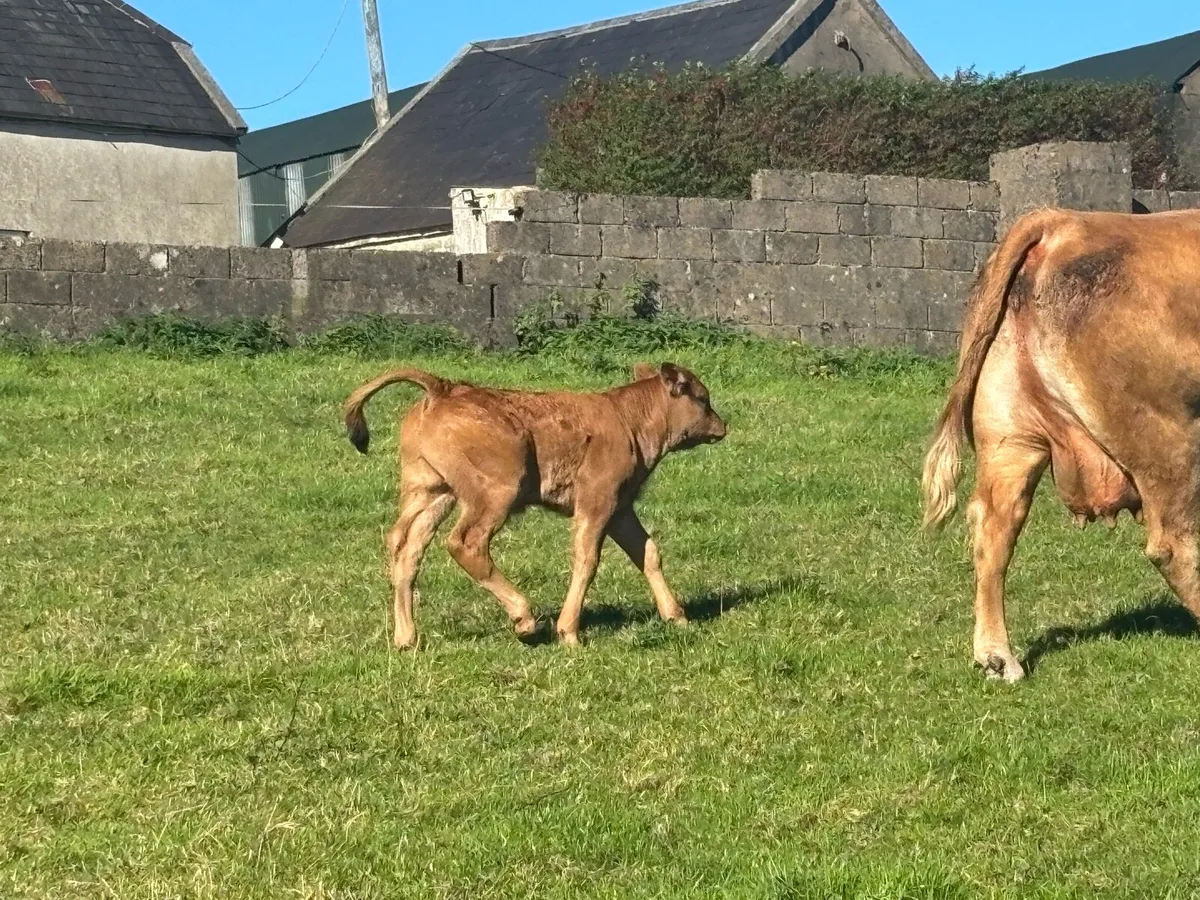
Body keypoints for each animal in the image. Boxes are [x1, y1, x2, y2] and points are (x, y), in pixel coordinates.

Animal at [343, 362, 727, 649]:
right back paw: (524, 620)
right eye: (703, 398)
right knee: (466, 542)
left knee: (405, 547)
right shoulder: (596, 504)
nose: (723, 425)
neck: (627, 418)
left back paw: (406, 638)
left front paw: (677, 616)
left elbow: (647, 553)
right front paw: (568, 632)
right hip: (496, 494)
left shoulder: (620, 510)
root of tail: (443, 389)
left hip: (432, 492)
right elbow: (587, 560)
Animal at [922, 205, 1200, 682]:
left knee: (994, 526)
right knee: (1174, 543)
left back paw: (998, 657)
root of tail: (1062, 222)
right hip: (1169, 436)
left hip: (1010, 432)